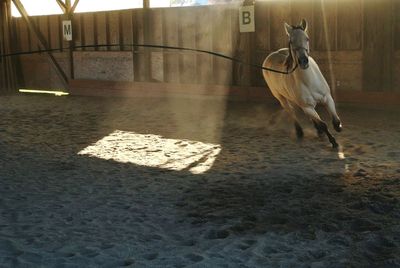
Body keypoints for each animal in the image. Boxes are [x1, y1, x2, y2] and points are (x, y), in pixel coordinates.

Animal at [260, 18, 342, 149]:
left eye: (307, 38)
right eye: (291, 41)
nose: (303, 61)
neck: (309, 81)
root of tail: (271, 55)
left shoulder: (327, 98)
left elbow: (335, 119)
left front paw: (338, 127)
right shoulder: (307, 106)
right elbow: (323, 124)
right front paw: (333, 142)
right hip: (281, 97)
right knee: (291, 111)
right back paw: (299, 132)